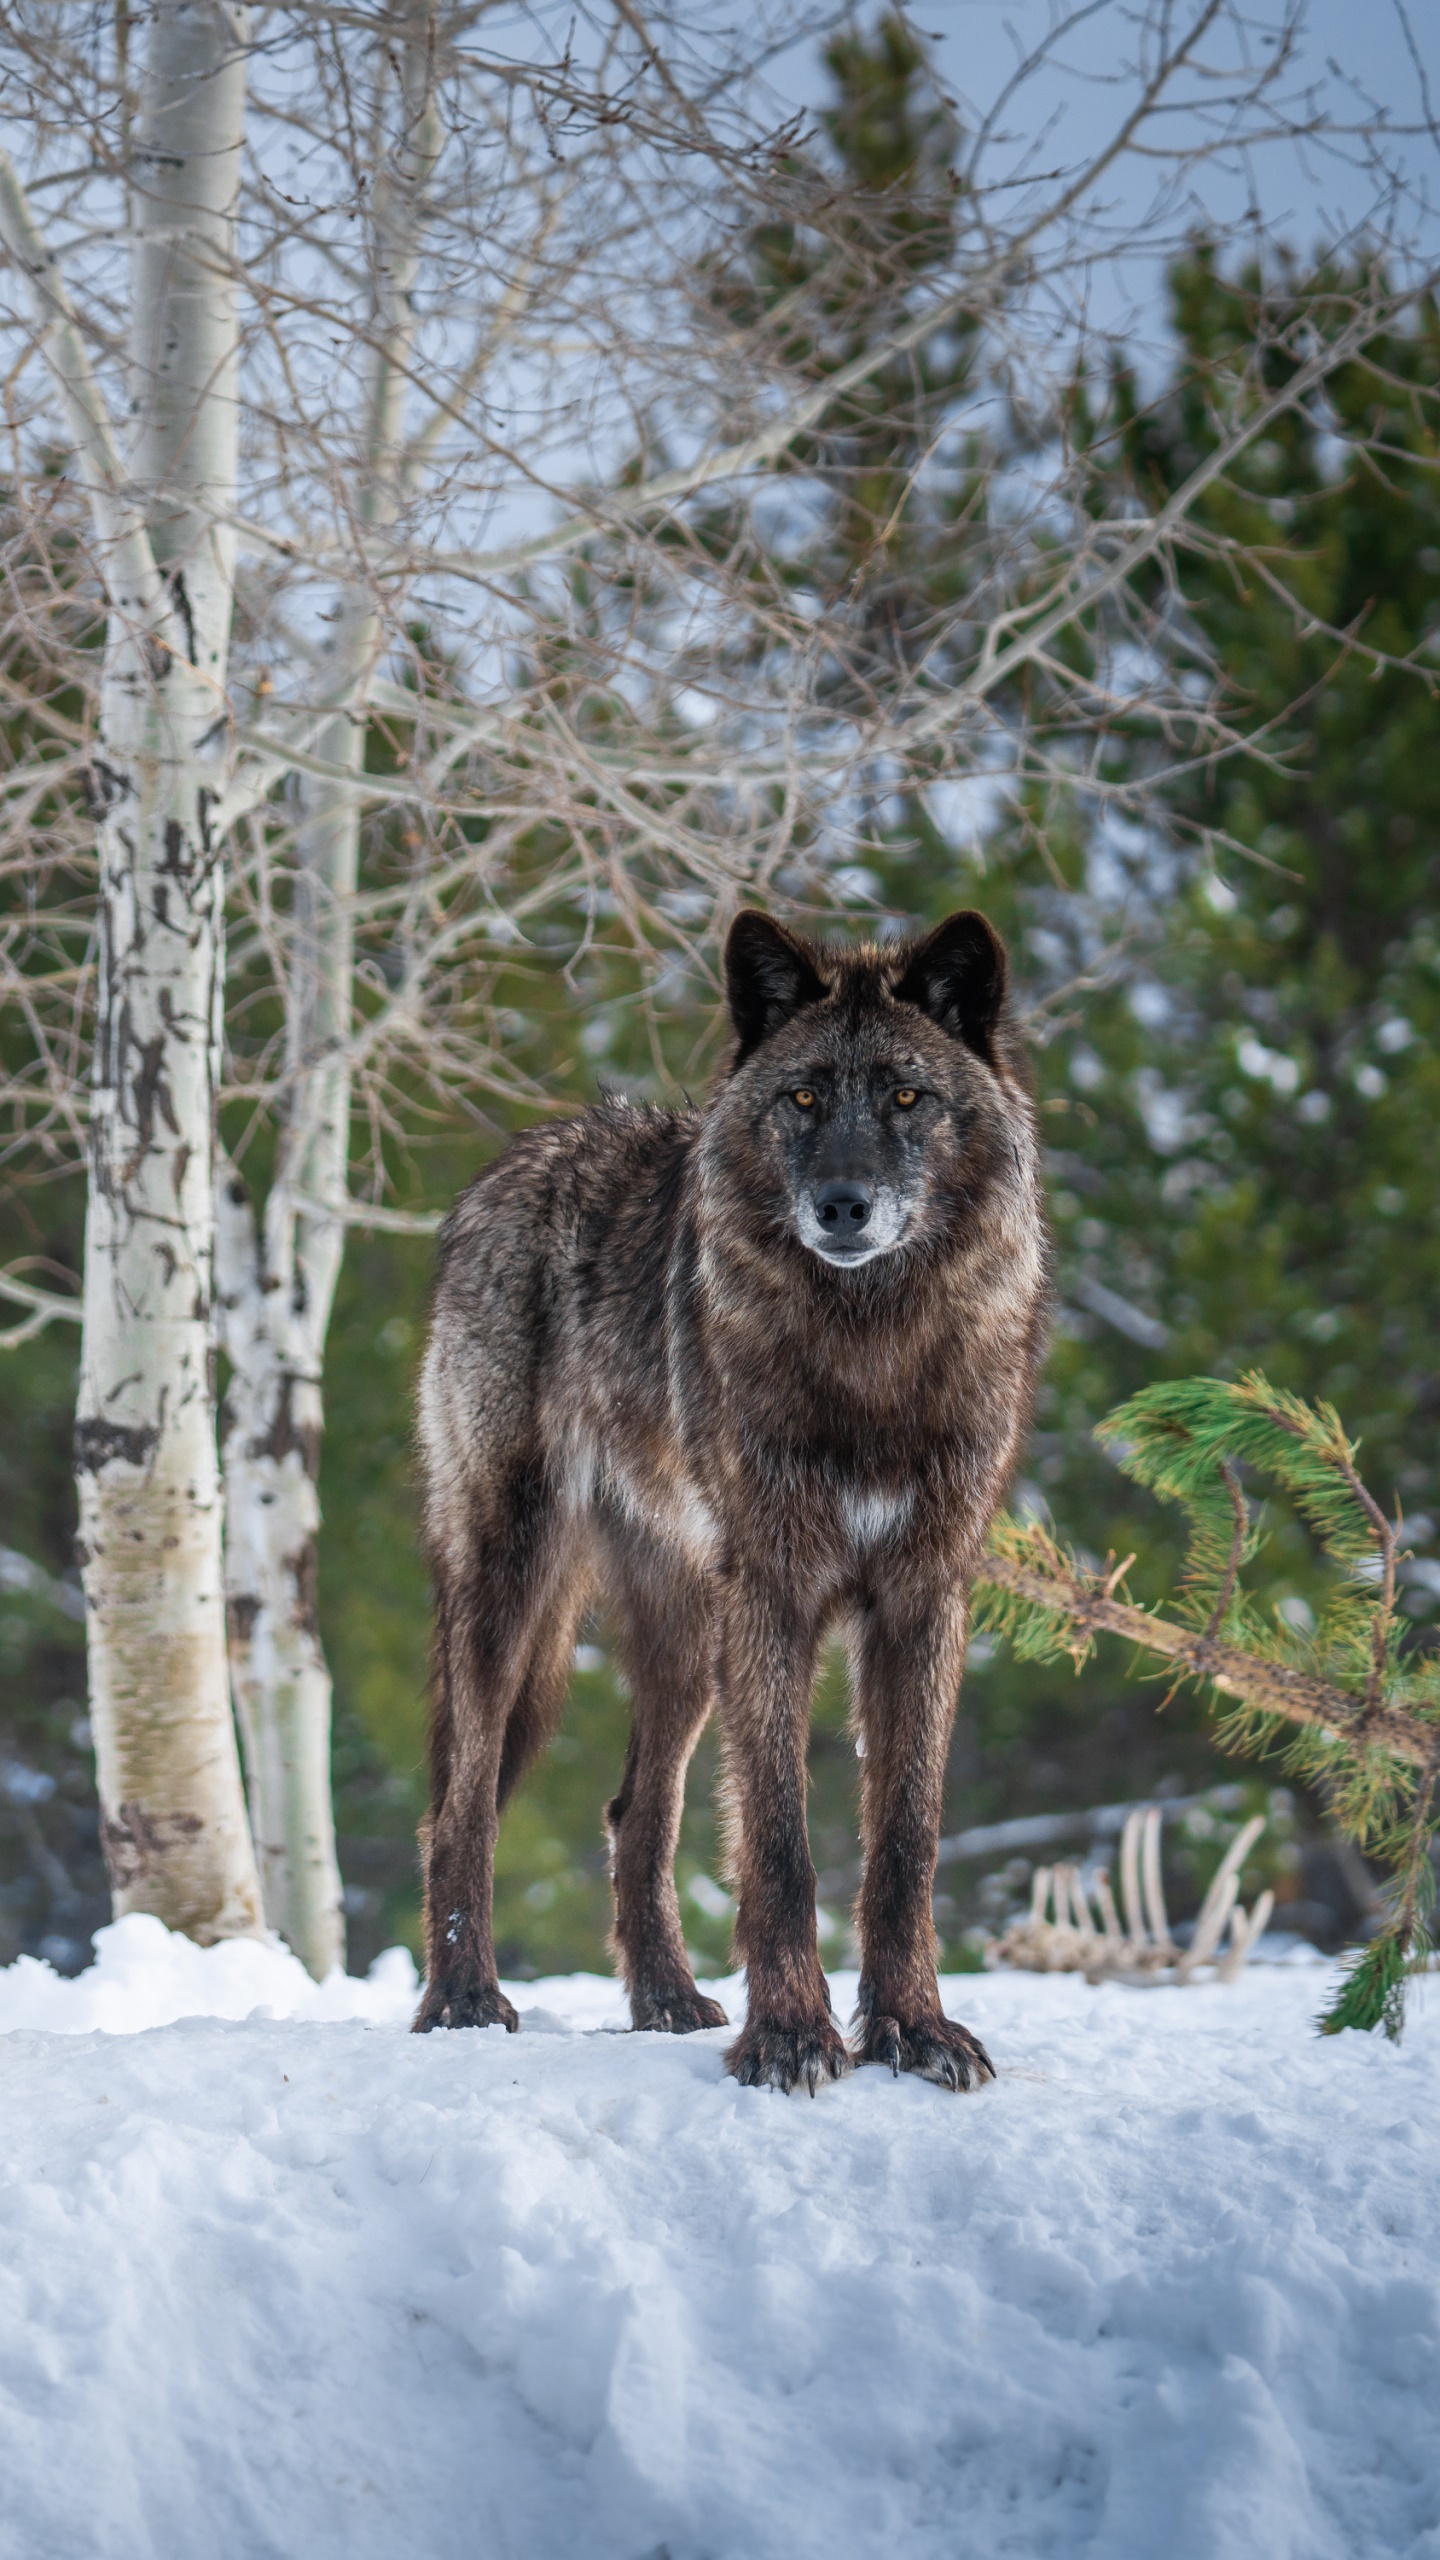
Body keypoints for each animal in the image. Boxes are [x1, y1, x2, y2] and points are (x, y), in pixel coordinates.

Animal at [414, 906, 1048, 2091]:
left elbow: (905, 1844)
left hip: (687, 1630)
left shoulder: (923, 1601)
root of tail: (521, 1158)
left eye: (907, 1097)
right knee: (459, 1808)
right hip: (510, 1588)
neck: (868, 1358)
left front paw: (915, 2029)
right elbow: (781, 1847)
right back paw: (462, 1999)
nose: (842, 1204)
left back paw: (663, 1998)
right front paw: (794, 2035)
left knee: (636, 1810)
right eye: (801, 1097)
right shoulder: (778, 1596)